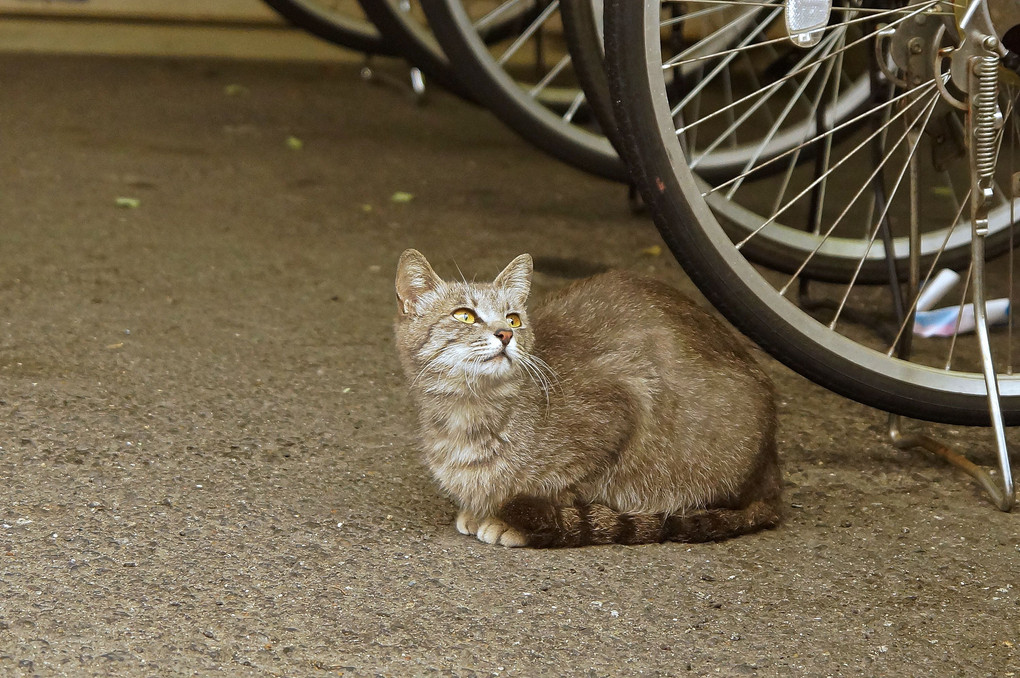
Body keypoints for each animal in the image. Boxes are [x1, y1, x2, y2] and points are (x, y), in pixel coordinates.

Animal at [393, 248, 783, 546]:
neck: (467, 412)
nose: (505, 334)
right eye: (464, 315)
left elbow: (564, 487)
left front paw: (511, 517)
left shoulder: (624, 403)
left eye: (514, 319)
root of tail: (773, 469)